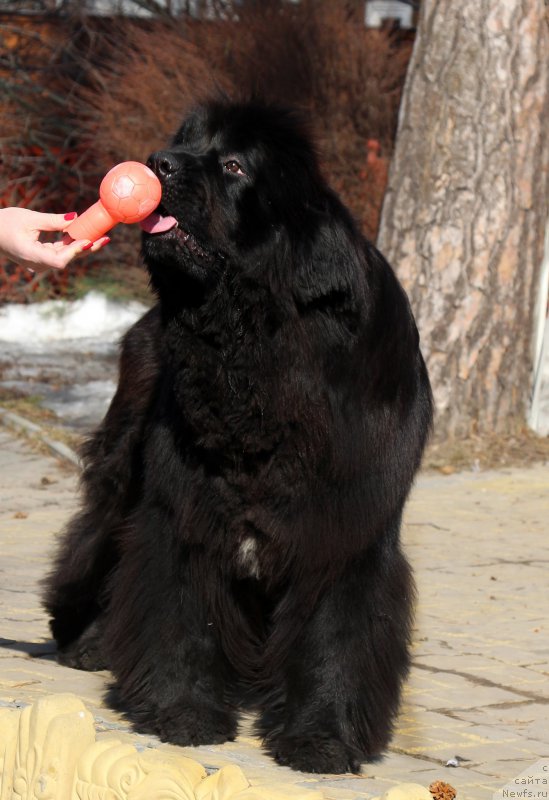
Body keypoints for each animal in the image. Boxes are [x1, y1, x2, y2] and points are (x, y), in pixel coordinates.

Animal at [42, 100, 430, 776]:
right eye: (184, 141)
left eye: (232, 166)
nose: (158, 162)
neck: (255, 350)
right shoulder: (186, 510)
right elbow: (181, 609)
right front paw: (184, 714)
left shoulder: (345, 528)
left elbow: (335, 633)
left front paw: (321, 738)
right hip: (122, 469)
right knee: (99, 544)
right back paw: (88, 642)